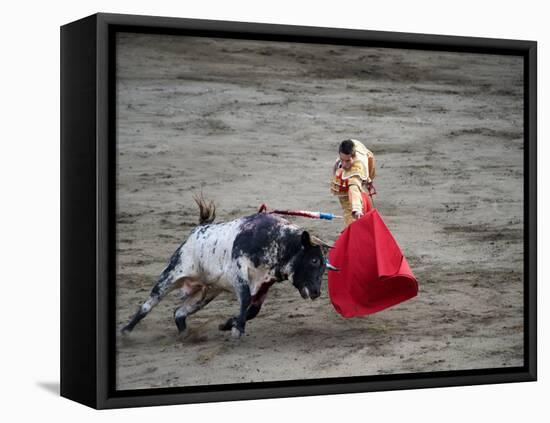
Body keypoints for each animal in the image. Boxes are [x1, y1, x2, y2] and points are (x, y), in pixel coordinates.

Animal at [121, 197, 336, 340]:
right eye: (314, 261)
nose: (316, 292)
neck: (278, 240)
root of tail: (198, 229)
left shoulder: (265, 282)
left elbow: (253, 310)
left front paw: (228, 324)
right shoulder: (239, 269)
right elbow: (246, 300)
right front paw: (236, 329)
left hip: (205, 293)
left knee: (179, 312)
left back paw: (186, 335)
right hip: (172, 273)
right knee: (148, 305)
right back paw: (126, 332)